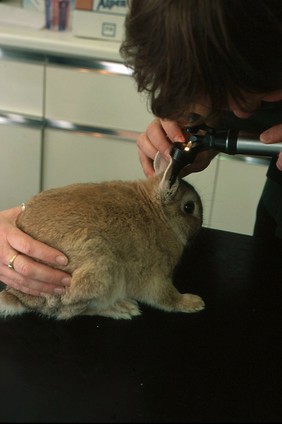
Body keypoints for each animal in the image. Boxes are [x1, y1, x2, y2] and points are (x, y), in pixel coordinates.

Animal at [0, 152, 204, 318]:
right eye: (189, 207)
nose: (200, 227)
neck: (159, 213)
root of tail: (18, 297)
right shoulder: (156, 275)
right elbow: (166, 298)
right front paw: (194, 303)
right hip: (98, 271)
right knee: (76, 311)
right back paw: (123, 309)